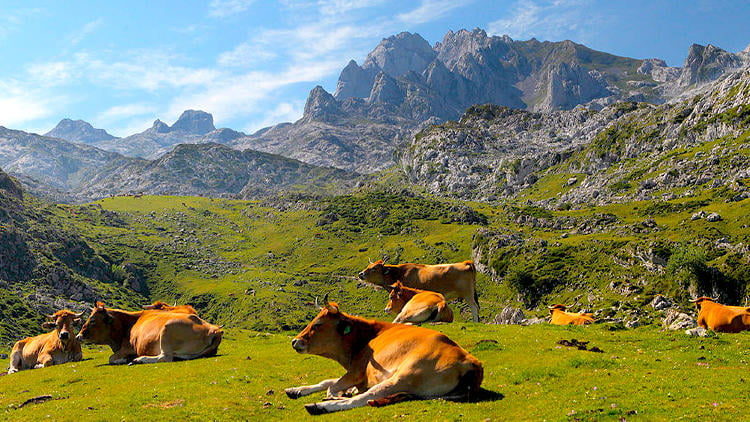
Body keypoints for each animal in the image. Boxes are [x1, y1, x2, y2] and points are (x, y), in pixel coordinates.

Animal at [76, 302, 223, 364]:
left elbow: (111, 358)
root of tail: (214, 330)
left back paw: (139, 359)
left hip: (167, 330)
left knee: (166, 357)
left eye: (92, 320)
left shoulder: (128, 348)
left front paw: (124, 359)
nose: (78, 336)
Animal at [284, 300, 484, 416]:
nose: (294, 341)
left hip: (403, 376)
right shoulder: (357, 375)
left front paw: (338, 394)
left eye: (317, 324)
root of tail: (472, 362)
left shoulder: (356, 371)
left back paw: (319, 406)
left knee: (364, 398)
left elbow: (332, 387)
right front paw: (296, 389)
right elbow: (327, 382)